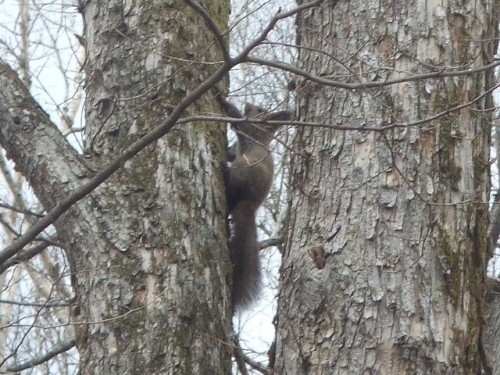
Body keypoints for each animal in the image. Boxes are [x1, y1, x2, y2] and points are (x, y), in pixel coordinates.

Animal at [214, 91, 292, 312]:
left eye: (260, 109)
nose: (248, 103)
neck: (262, 135)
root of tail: (249, 203)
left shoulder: (247, 129)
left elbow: (235, 117)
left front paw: (220, 98)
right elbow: (232, 149)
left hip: (242, 174)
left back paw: (224, 171)